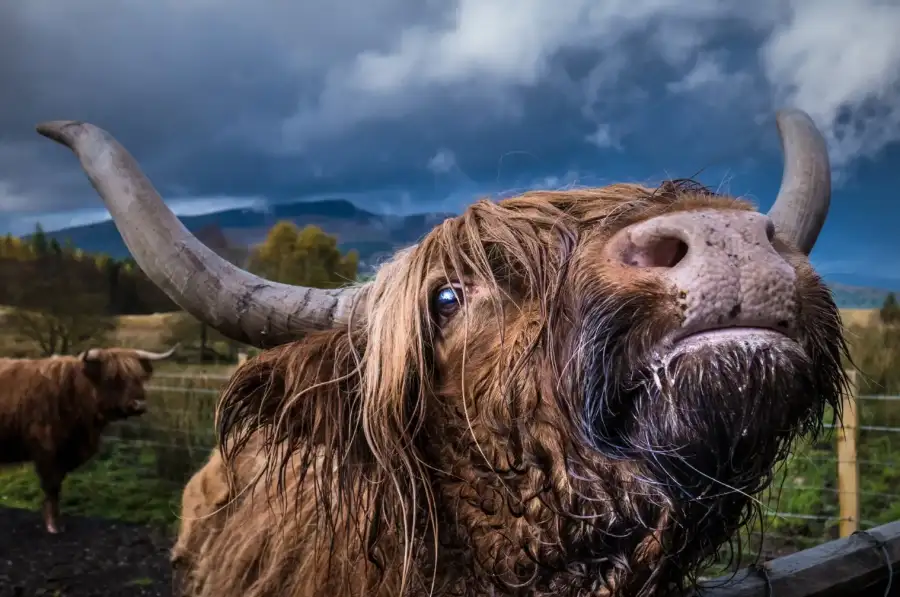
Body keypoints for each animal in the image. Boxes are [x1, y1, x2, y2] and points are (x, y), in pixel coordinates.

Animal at [0, 342, 179, 532]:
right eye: (112, 378)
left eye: (139, 378)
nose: (139, 405)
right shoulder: (46, 450)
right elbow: (51, 486)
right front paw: (53, 525)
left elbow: (57, 486)